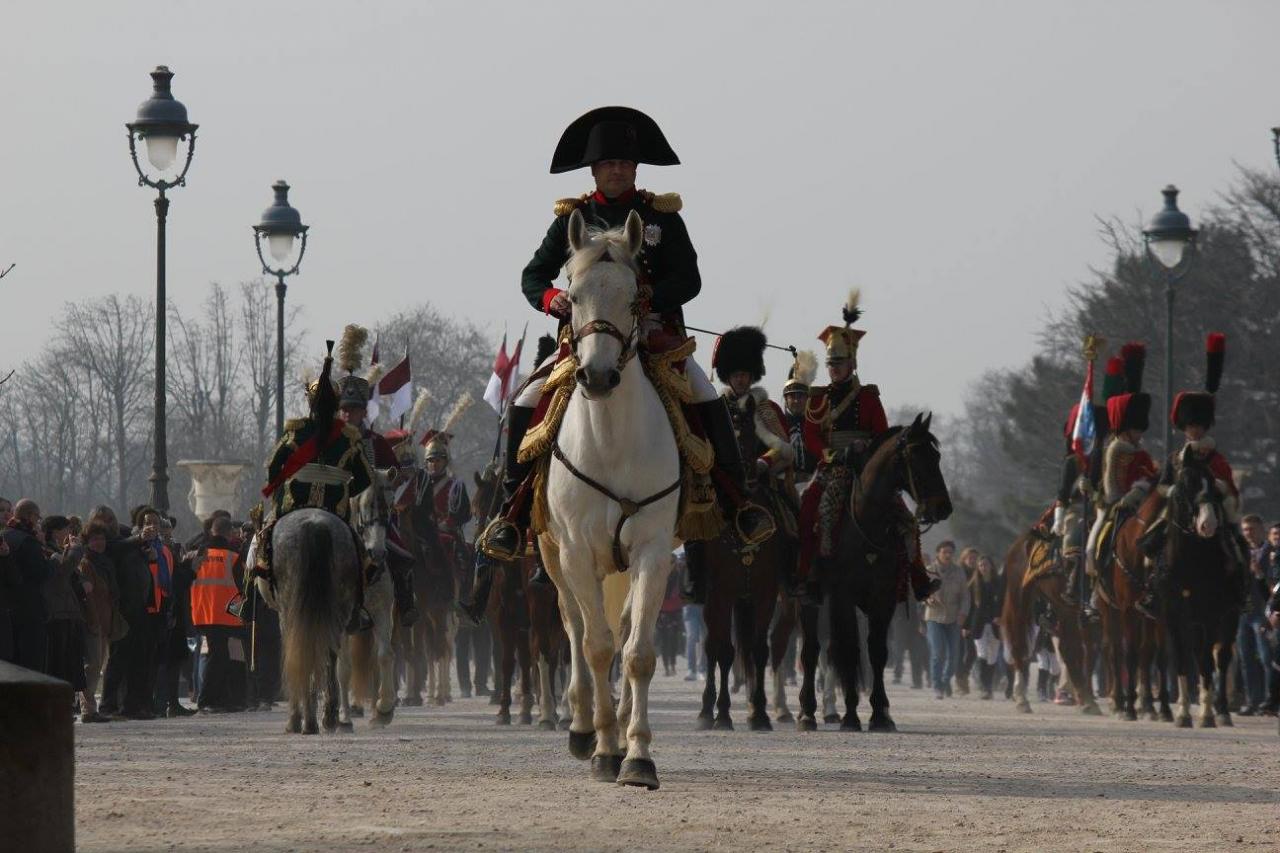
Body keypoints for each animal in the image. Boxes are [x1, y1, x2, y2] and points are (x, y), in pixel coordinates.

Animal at [537, 207, 686, 788]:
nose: (598, 376)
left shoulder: (652, 551)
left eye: (634, 298)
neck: (611, 442)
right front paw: (602, 748)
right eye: (573, 296)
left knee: (618, 629)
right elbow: (596, 646)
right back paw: (584, 727)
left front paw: (637, 755)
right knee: (575, 626)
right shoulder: (577, 552)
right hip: (555, 556)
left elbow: (637, 651)